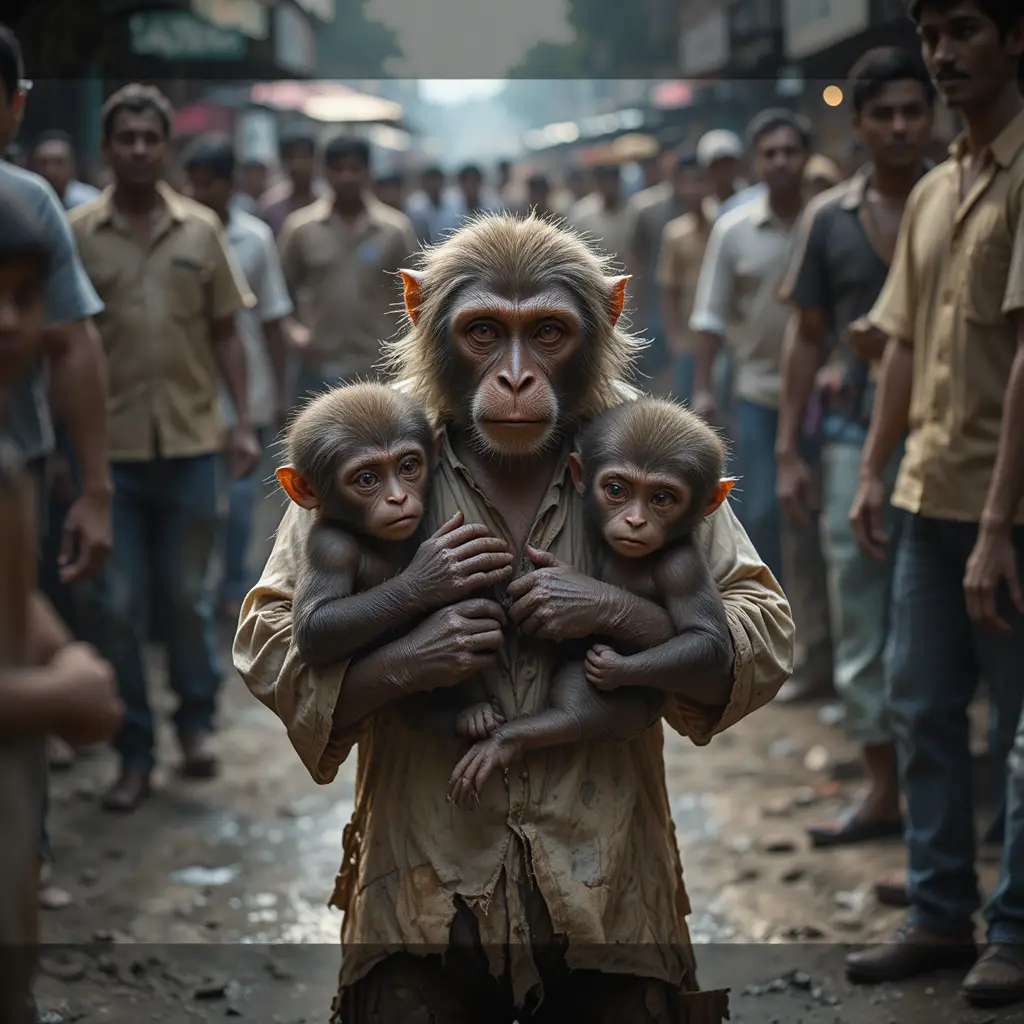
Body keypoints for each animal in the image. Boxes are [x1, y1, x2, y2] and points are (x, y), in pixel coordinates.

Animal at [275, 382, 515, 736]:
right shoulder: (329, 546)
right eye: (366, 479)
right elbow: (315, 626)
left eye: (408, 466)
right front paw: (433, 573)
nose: (398, 498)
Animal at [447, 397, 736, 810]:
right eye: (616, 490)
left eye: (662, 498)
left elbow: (707, 641)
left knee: (575, 715)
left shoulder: (682, 566)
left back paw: (507, 740)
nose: (634, 522)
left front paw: (611, 660)